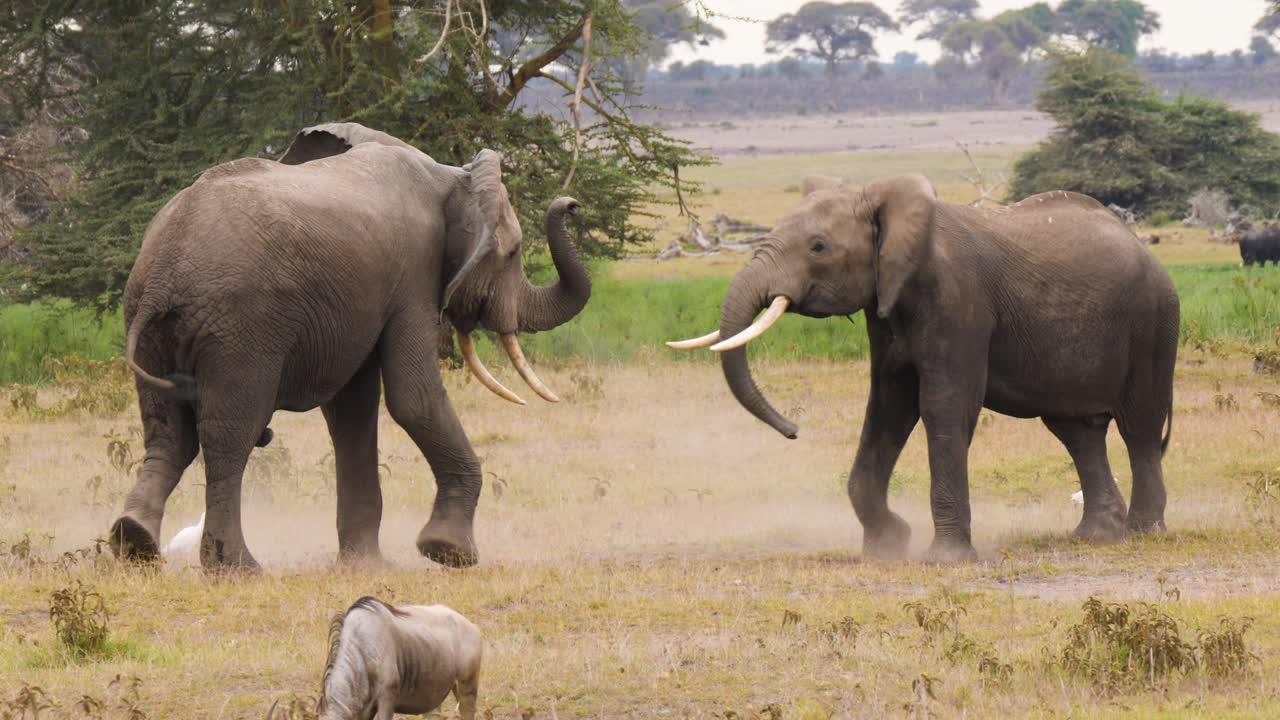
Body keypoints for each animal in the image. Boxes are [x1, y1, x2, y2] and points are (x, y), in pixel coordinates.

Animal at [109, 122, 591, 571]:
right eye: (513, 253)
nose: (571, 205)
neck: (451, 176)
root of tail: (162, 272)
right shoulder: (414, 275)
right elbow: (412, 398)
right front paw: (449, 553)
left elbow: (353, 411)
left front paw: (367, 565)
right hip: (240, 329)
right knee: (230, 435)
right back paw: (238, 569)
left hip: (150, 325)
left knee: (169, 434)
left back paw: (135, 542)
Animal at [670, 176, 1178, 561]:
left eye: (818, 247)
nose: (793, 431)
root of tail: (1148, 251)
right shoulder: (885, 309)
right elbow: (888, 407)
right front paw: (888, 546)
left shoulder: (958, 303)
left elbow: (942, 407)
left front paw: (945, 560)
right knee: (1076, 430)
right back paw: (1097, 536)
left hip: (1153, 323)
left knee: (1139, 429)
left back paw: (1143, 531)